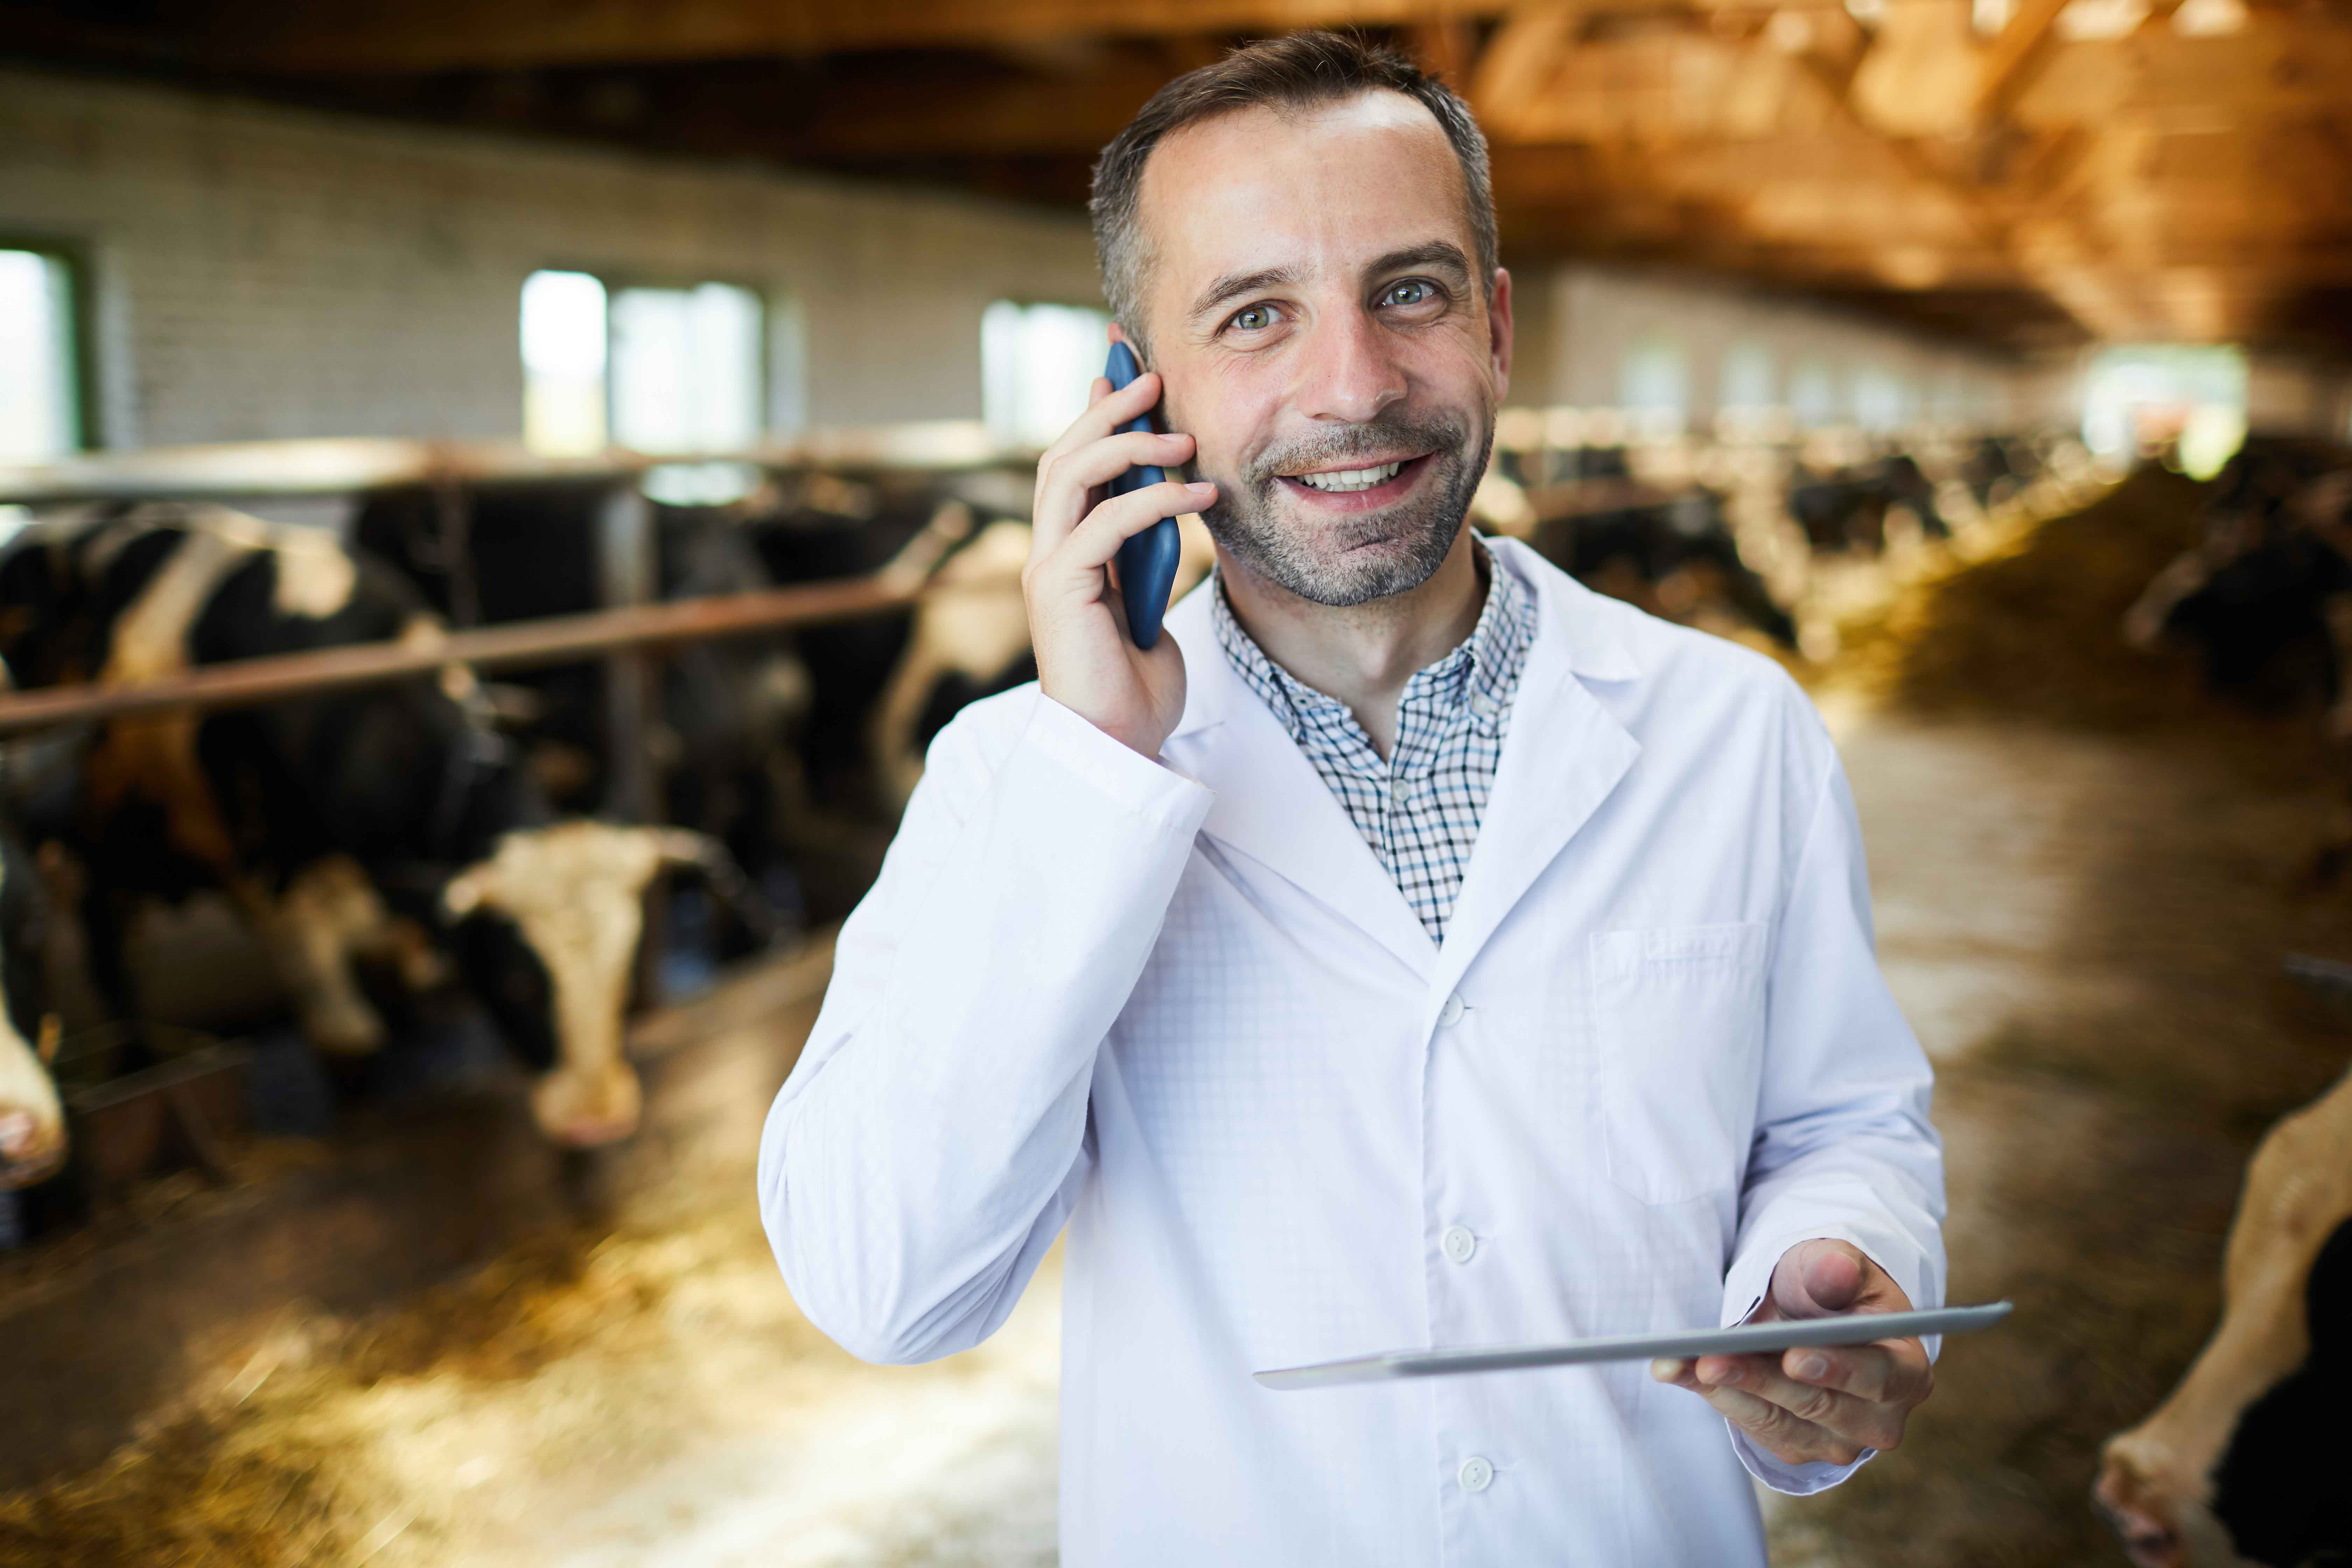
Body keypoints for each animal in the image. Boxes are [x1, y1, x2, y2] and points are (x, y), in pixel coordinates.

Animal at [0, 510, 715, 1147]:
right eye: (518, 979)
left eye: (625, 974)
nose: (600, 1120)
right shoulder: (273, 887)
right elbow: (349, 1040)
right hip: (99, 837)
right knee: (109, 948)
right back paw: (137, 1056)